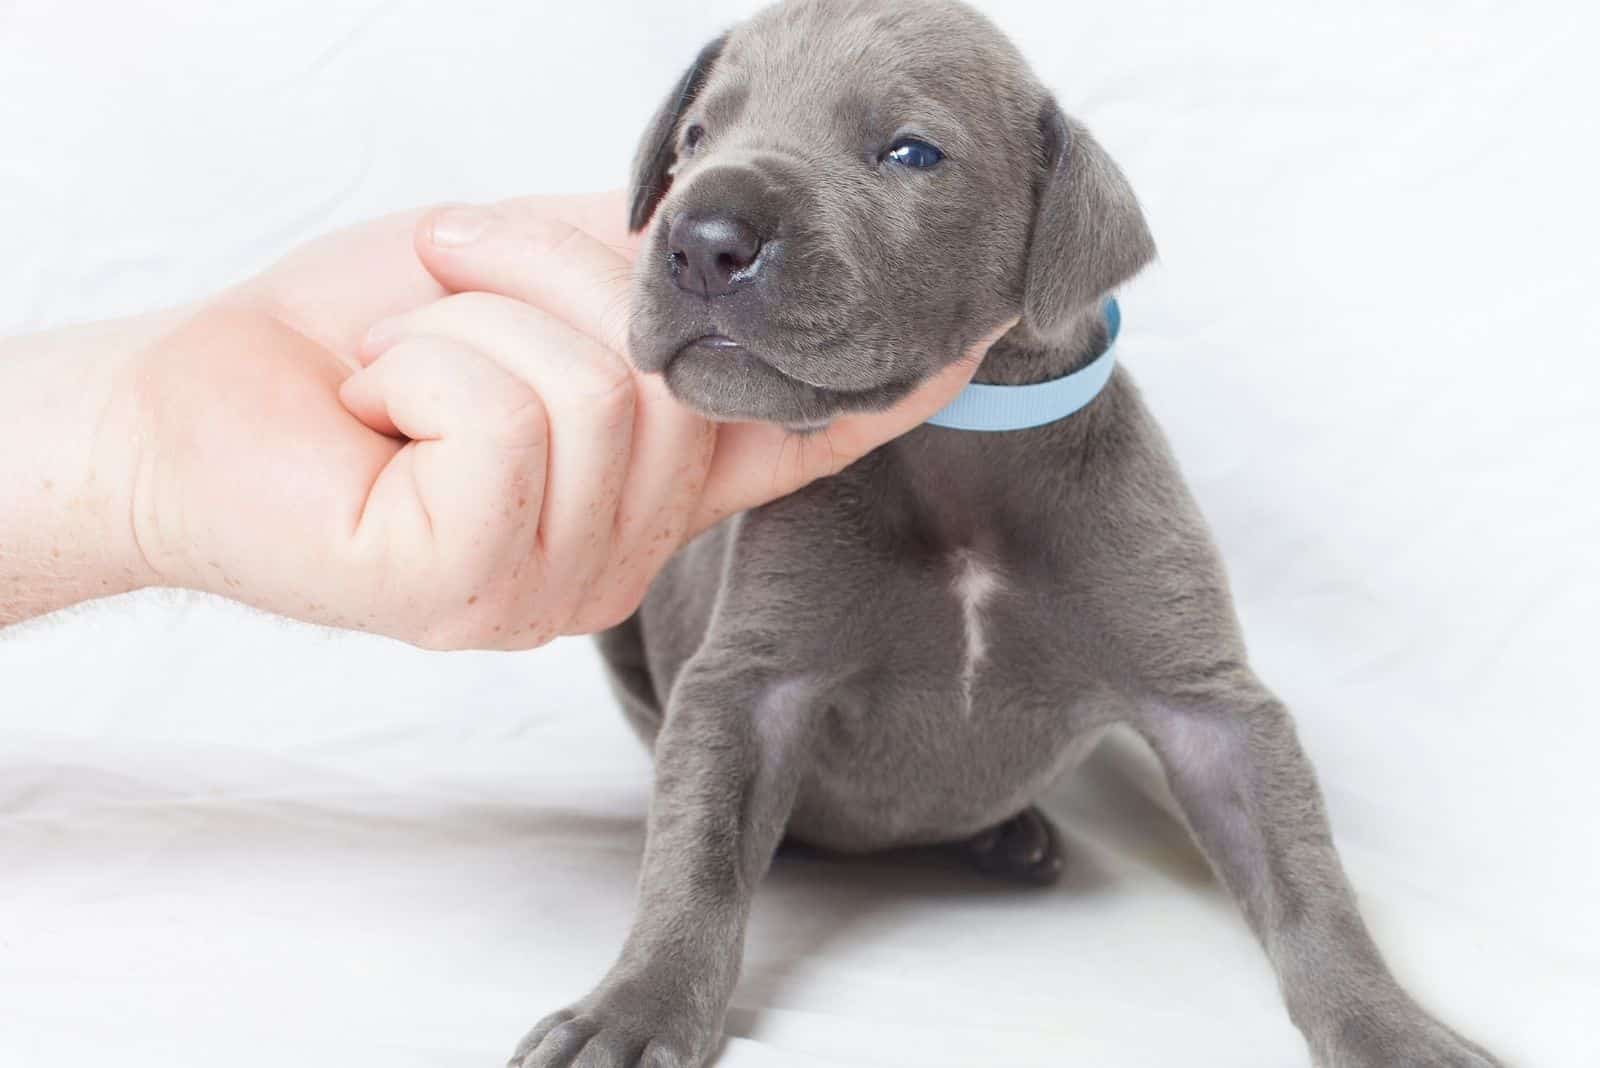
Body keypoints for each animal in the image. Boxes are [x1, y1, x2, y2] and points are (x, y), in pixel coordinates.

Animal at [508, 2, 1497, 1068]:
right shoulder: (750, 682)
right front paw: (633, 1009)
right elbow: (695, 859)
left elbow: (1305, 877)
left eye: (911, 152)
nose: (703, 239)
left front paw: (1390, 1025)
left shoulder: (1212, 707)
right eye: (694, 140)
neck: (963, 445)